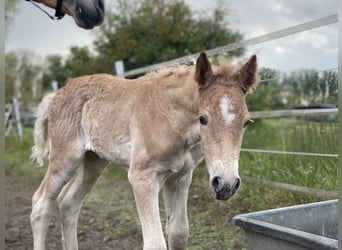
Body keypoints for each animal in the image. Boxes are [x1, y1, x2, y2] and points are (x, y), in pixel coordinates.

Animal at [30, 51, 258, 249]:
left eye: (246, 122)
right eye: (203, 118)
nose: (226, 184)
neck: (170, 118)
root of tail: (56, 94)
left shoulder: (181, 177)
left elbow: (178, 233)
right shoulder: (142, 176)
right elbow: (155, 243)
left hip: (94, 160)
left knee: (69, 203)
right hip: (66, 157)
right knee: (41, 204)